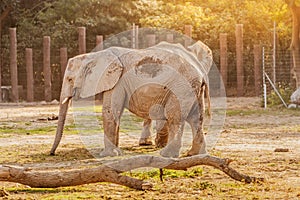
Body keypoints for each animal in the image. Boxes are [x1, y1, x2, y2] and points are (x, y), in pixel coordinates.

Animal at [50, 41, 211, 158]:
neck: (94, 55)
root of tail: (201, 72)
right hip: (193, 89)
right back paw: (194, 154)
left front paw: (106, 155)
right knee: (196, 118)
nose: (52, 154)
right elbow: (116, 112)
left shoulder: (117, 81)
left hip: (181, 87)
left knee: (175, 117)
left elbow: (109, 111)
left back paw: (166, 155)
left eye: (70, 79)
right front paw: (117, 152)